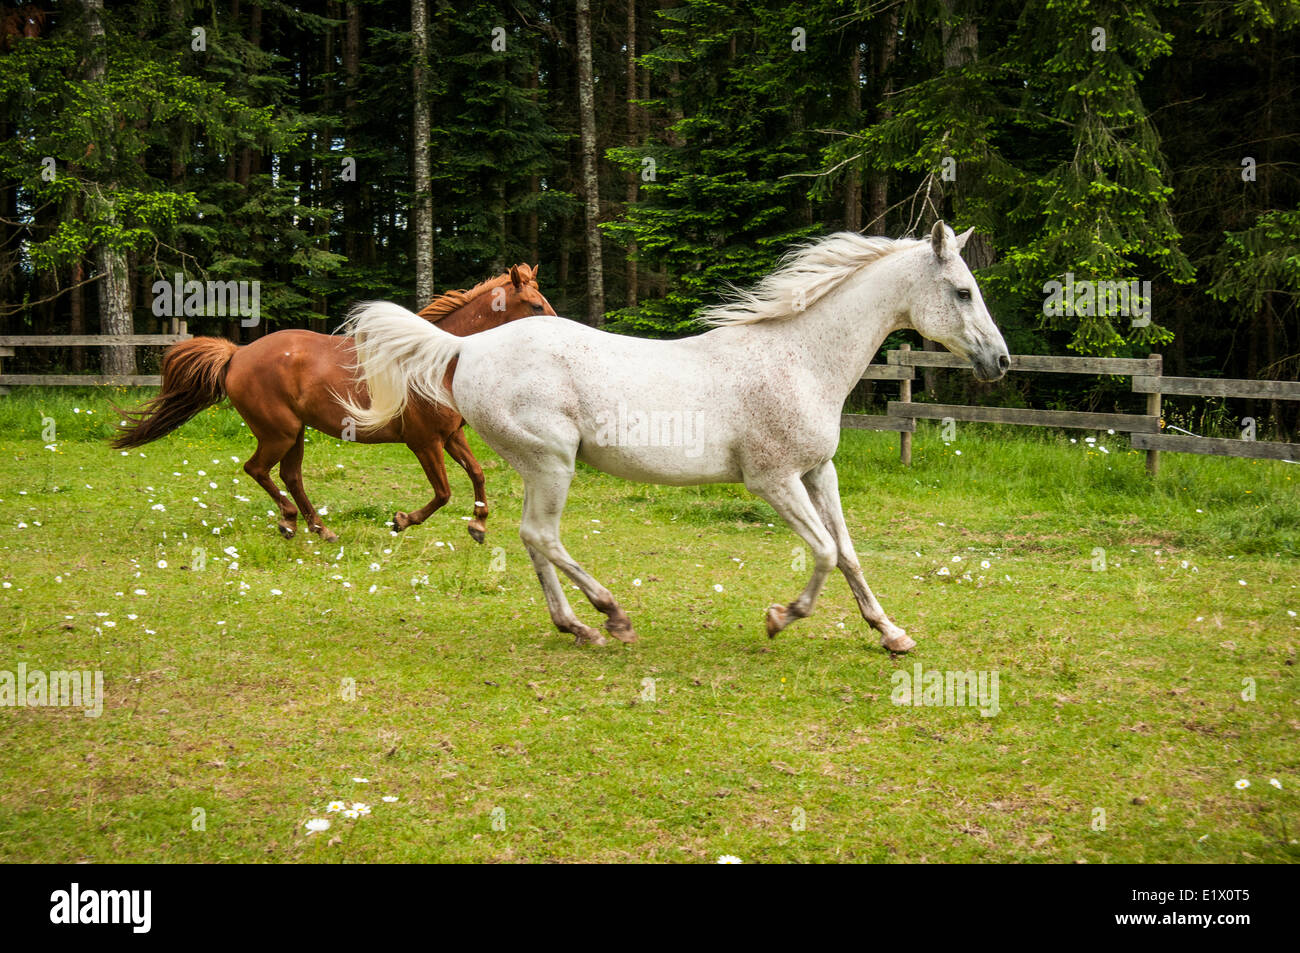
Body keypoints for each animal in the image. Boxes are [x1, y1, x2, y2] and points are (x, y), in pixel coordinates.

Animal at [113, 263, 553, 543]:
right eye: (535, 305)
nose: (557, 332)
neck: (434, 362)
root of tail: (237, 354)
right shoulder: (424, 442)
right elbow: (443, 492)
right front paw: (401, 521)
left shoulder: (450, 437)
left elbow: (477, 475)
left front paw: (478, 526)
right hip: (279, 432)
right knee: (258, 469)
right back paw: (291, 522)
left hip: (295, 434)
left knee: (290, 476)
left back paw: (318, 528)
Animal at [340, 222, 1008, 650]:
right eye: (963, 291)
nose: (1000, 361)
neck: (800, 359)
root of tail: (468, 347)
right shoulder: (773, 480)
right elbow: (820, 551)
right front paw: (778, 618)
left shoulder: (819, 471)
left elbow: (846, 551)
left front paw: (892, 634)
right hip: (553, 462)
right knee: (541, 535)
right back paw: (611, 617)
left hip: (537, 466)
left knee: (533, 540)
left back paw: (578, 627)